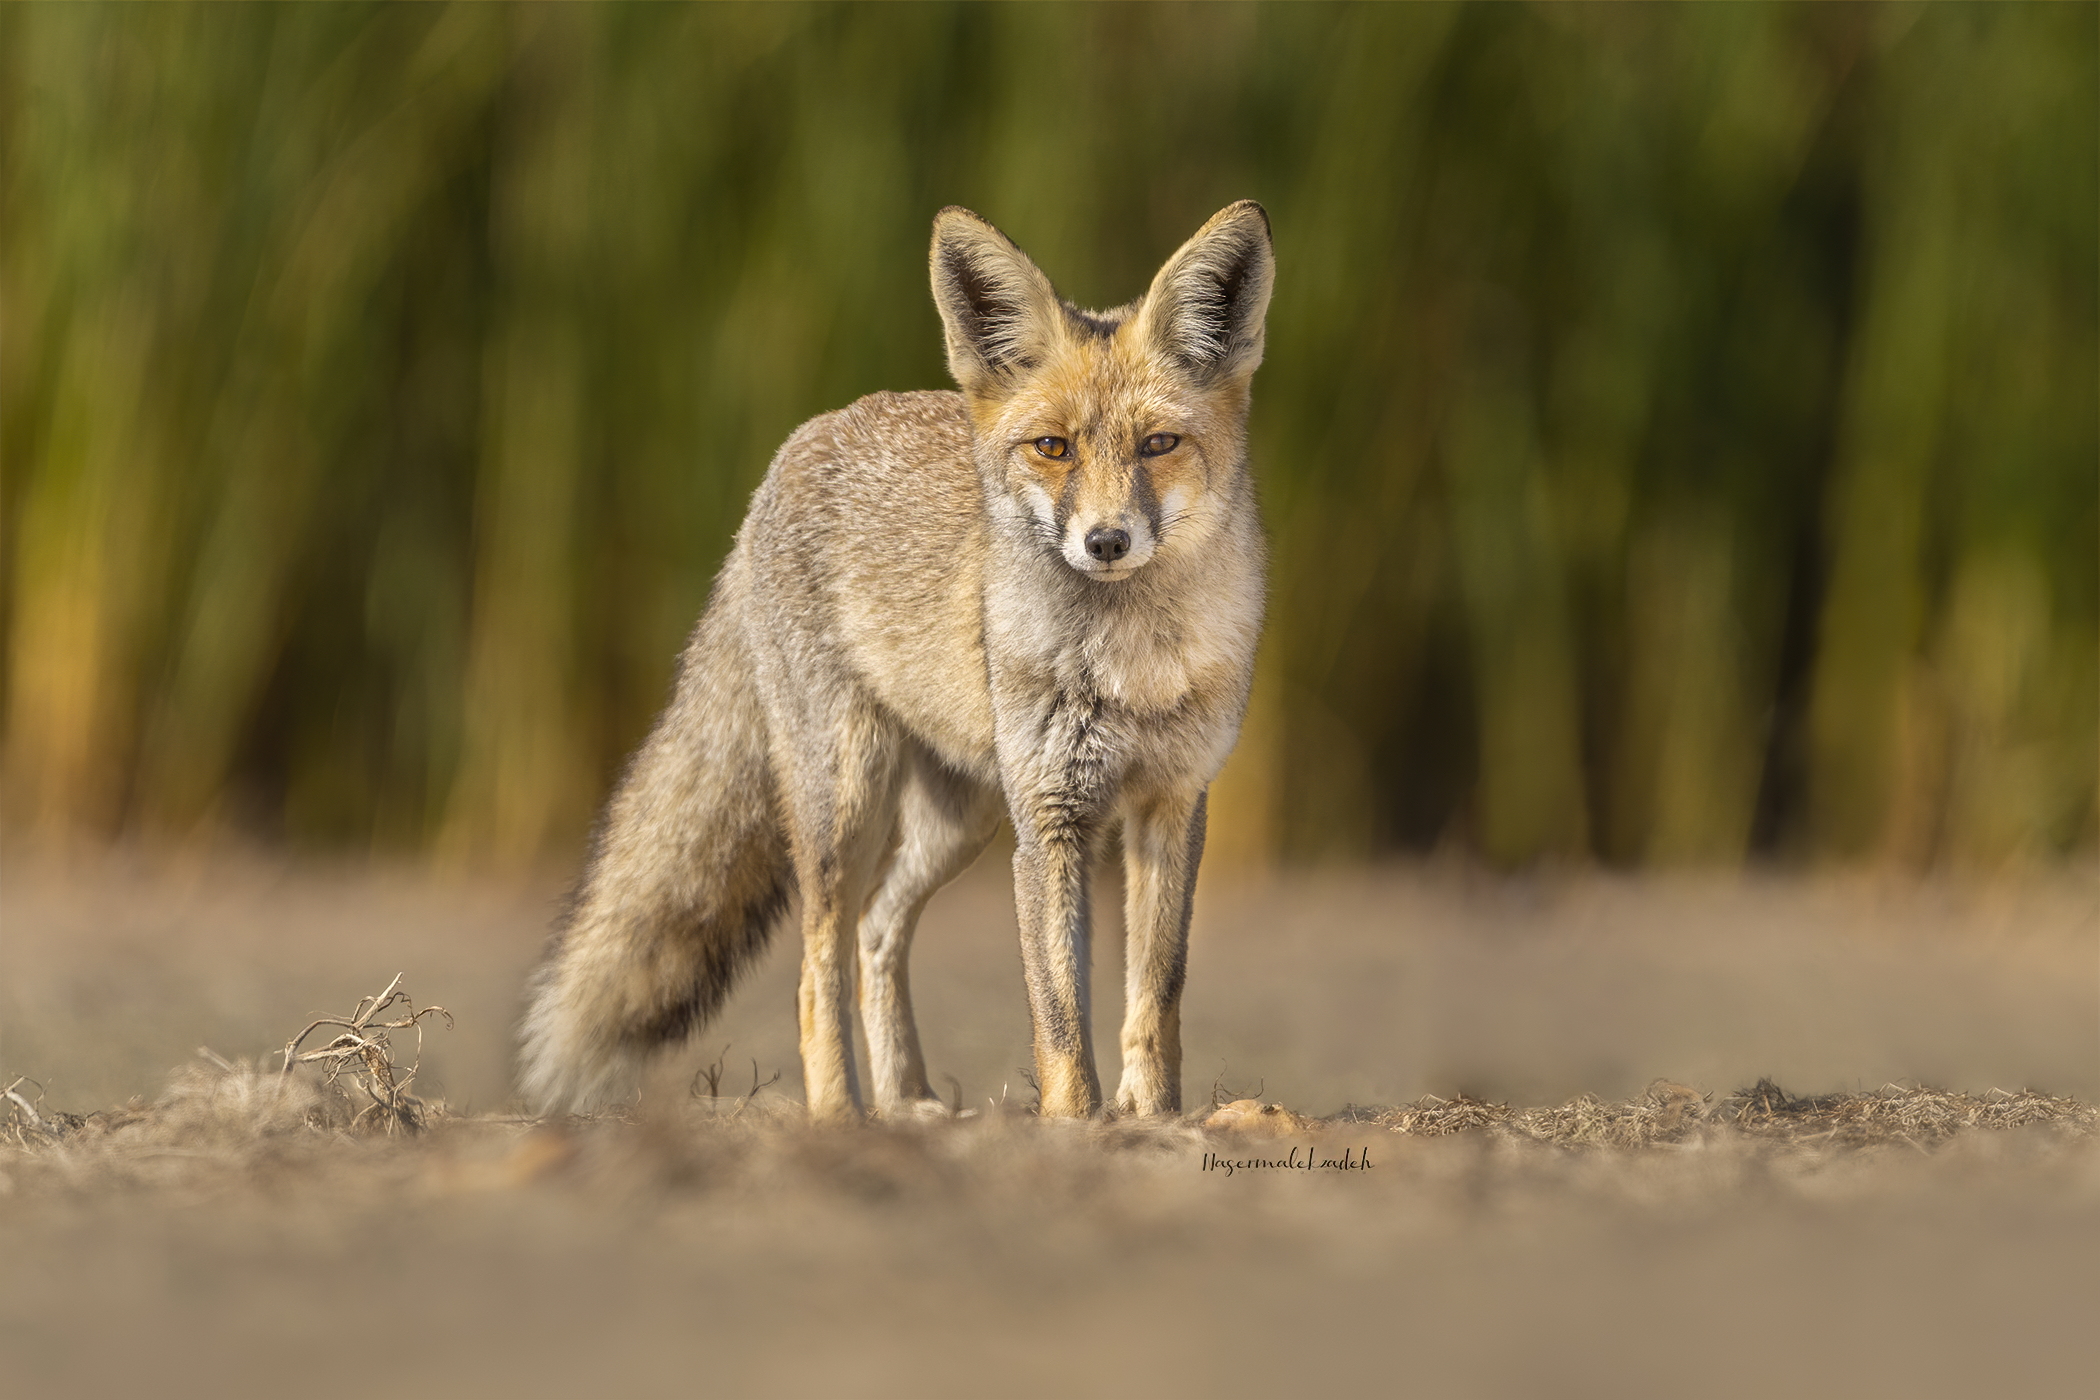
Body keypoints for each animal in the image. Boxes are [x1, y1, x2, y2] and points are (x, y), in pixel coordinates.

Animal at [518, 200, 1274, 1121]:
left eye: (1159, 444)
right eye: (1054, 448)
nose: (1105, 542)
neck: (1134, 666)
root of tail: (796, 446)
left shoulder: (1172, 804)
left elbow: (1155, 997)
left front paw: (1155, 1118)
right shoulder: (1050, 819)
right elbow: (1060, 1012)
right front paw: (1073, 1124)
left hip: (960, 819)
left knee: (879, 929)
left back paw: (907, 1100)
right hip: (845, 807)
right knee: (818, 971)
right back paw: (842, 1117)